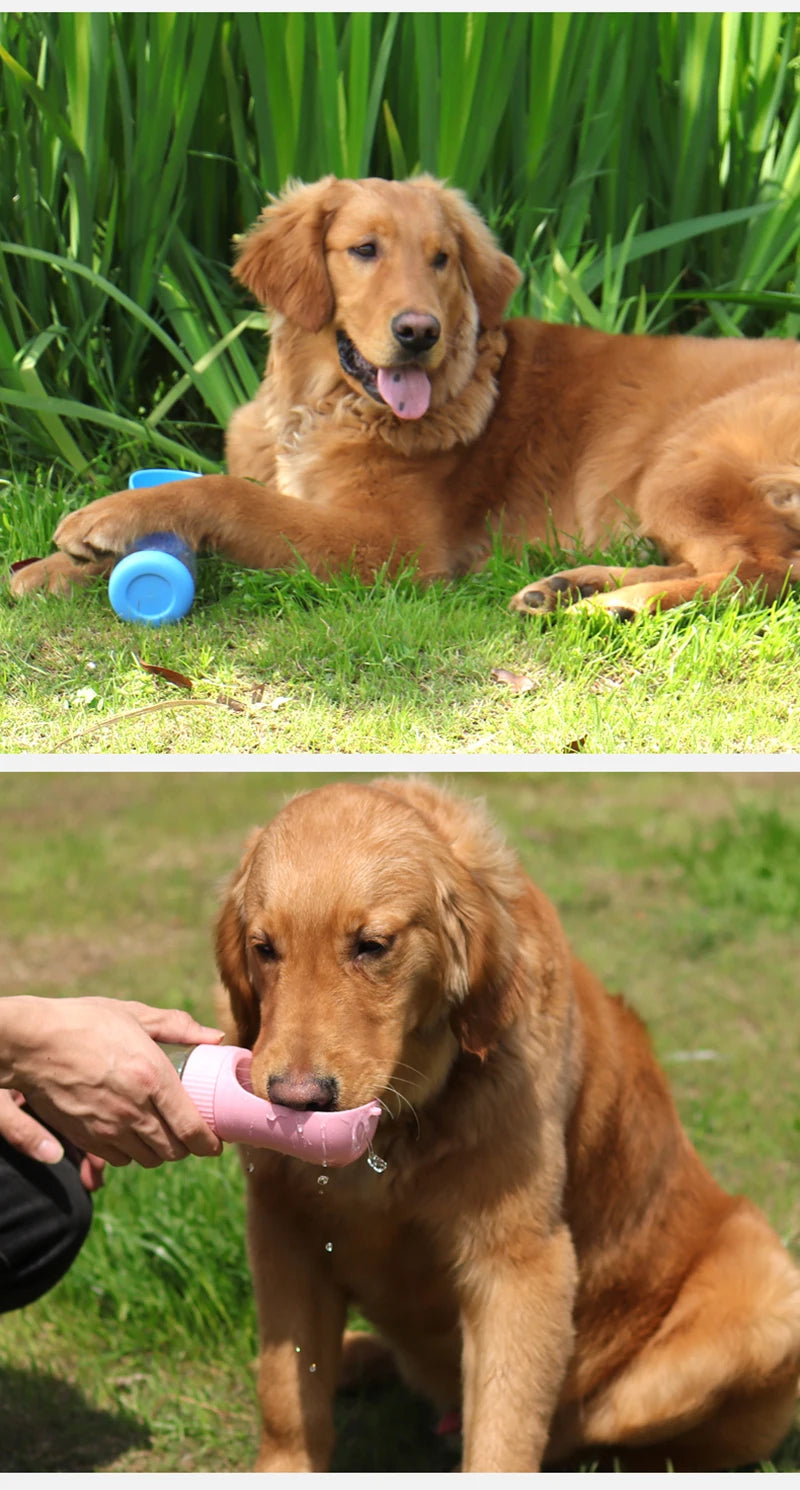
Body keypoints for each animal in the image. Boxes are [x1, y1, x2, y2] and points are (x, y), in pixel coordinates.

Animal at [9, 175, 798, 616]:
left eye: (442, 259)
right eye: (364, 250)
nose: (419, 332)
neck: (319, 406)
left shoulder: (390, 544)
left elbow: (229, 497)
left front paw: (108, 516)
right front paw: (48, 570)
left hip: (685, 459)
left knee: (757, 570)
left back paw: (618, 606)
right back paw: (570, 587)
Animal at [214, 774, 798, 1472]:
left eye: (372, 946)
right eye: (263, 949)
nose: (295, 1101)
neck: (398, 1127)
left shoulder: (520, 1263)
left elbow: (504, 1431)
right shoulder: (283, 1230)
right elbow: (287, 1394)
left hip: (761, 1294)